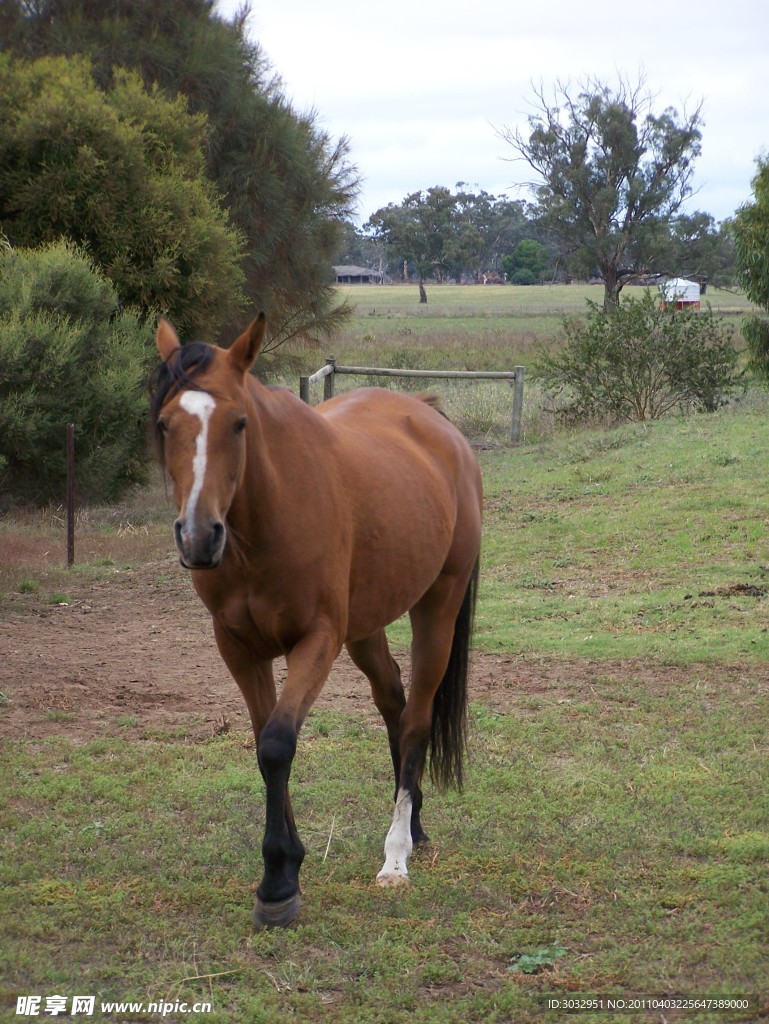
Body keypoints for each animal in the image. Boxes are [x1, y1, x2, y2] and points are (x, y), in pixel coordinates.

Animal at [150, 313, 481, 929]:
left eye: (239, 423)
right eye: (165, 423)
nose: (199, 536)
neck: (265, 522)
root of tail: (430, 419)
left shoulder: (318, 640)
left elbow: (279, 743)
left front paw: (279, 880)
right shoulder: (238, 647)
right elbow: (264, 744)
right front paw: (284, 865)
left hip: (437, 609)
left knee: (417, 719)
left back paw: (397, 854)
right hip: (367, 628)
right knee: (394, 704)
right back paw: (417, 825)